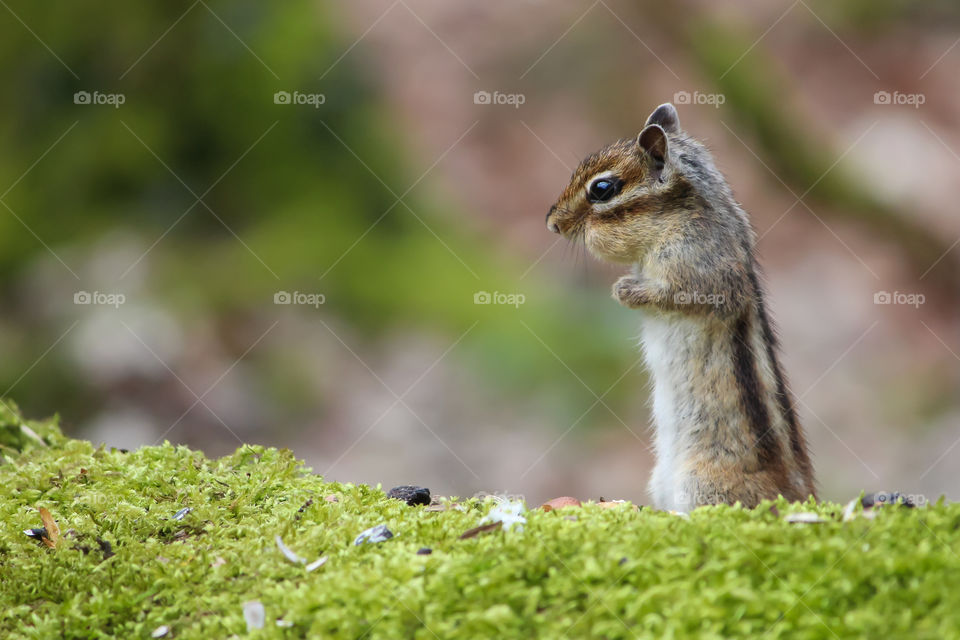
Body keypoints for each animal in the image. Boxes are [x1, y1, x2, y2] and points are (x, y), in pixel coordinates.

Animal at [546, 103, 816, 511]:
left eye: (602, 189)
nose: (552, 223)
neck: (676, 217)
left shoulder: (704, 269)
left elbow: (684, 295)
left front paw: (625, 290)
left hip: (700, 486)